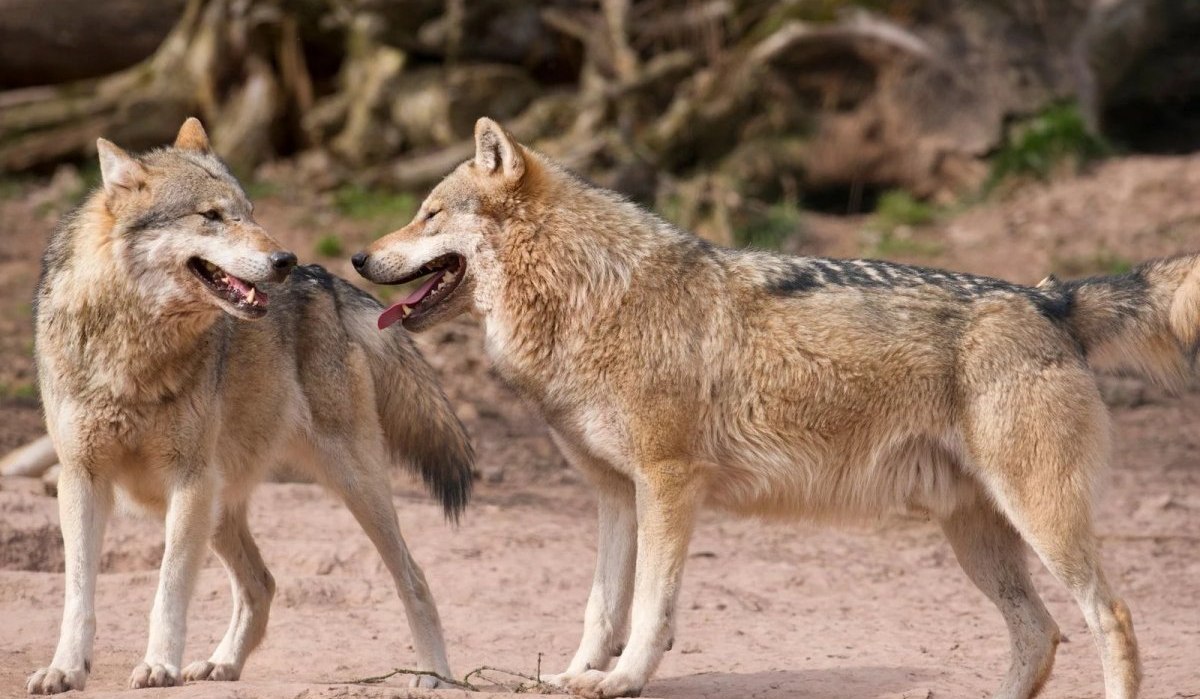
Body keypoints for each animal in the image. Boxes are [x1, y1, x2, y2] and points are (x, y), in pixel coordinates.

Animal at [25, 119, 474, 694]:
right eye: (211, 217)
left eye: (250, 212)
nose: (282, 261)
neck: (132, 351)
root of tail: (325, 278)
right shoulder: (81, 478)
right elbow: (78, 595)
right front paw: (65, 668)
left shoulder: (188, 480)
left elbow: (168, 590)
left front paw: (159, 665)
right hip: (222, 508)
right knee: (262, 583)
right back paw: (222, 663)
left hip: (351, 484)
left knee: (413, 578)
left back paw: (435, 675)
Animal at [350, 117, 1190, 699]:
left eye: (429, 214)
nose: (356, 257)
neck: (592, 294)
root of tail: (1053, 297)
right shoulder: (616, 497)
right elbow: (600, 608)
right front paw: (574, 675)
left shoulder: (669, 485)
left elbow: (649, 609)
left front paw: (624, 679)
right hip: (977, 536)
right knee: (1040, 633)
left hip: (1040, 520)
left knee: (1109, 616)